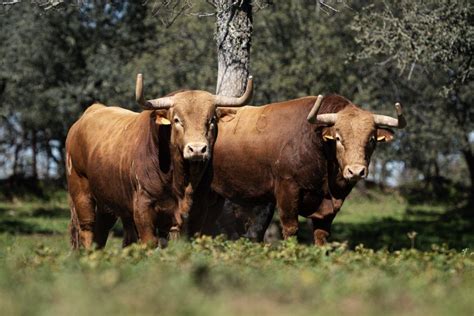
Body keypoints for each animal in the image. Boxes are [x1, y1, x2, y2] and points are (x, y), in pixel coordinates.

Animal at [65, 74, 256, 249]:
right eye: (177, 120)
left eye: (212, 120)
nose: (197, 149)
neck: (182, 182)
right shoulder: (143, 207)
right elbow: (150, 242)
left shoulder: (197, 210)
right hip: (81, 192)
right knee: (87, 229)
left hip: (107, 204)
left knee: (101, 233)